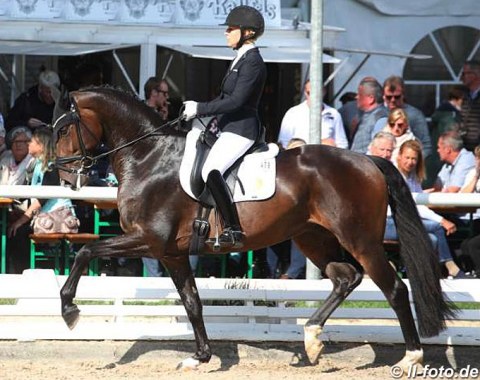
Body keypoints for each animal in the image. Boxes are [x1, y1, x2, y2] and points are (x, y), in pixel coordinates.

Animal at [52, 86, 454, 372]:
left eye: (64, 129)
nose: (66, 177)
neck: (149, 158)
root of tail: (367, 159)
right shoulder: (171, 253)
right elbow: (192, 302)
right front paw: (200, 357)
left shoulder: (149, 240)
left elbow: (86, 251)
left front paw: (70, 310)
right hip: (312, 237)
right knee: (346, 277)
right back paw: (311, 340)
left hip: (360, 240)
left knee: (394, 288)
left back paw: (411, 357)